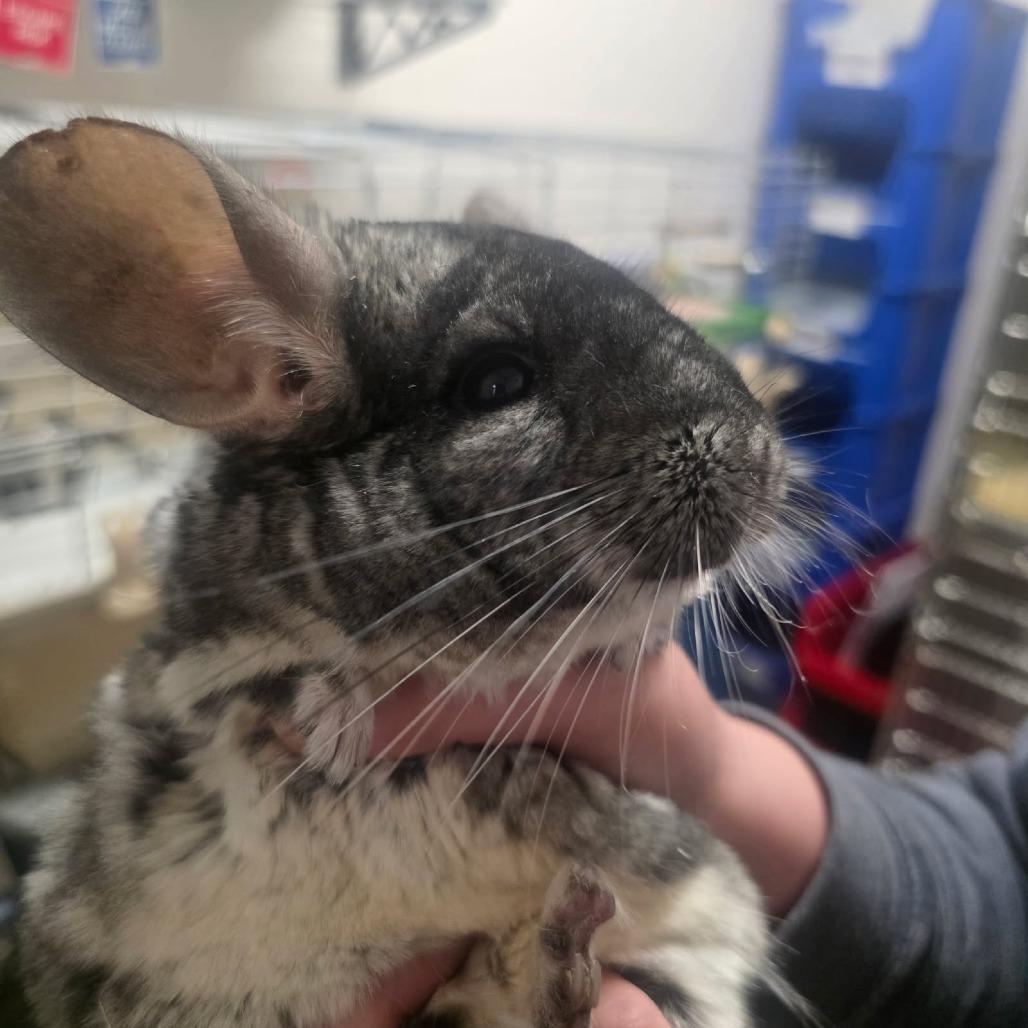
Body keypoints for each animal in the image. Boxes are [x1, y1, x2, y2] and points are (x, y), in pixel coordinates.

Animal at [0, 118, 805, 1028]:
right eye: (497, 381)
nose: (766, 455)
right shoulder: (184, 670)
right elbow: (252, 683)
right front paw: (335, 720)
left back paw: (564, 950)